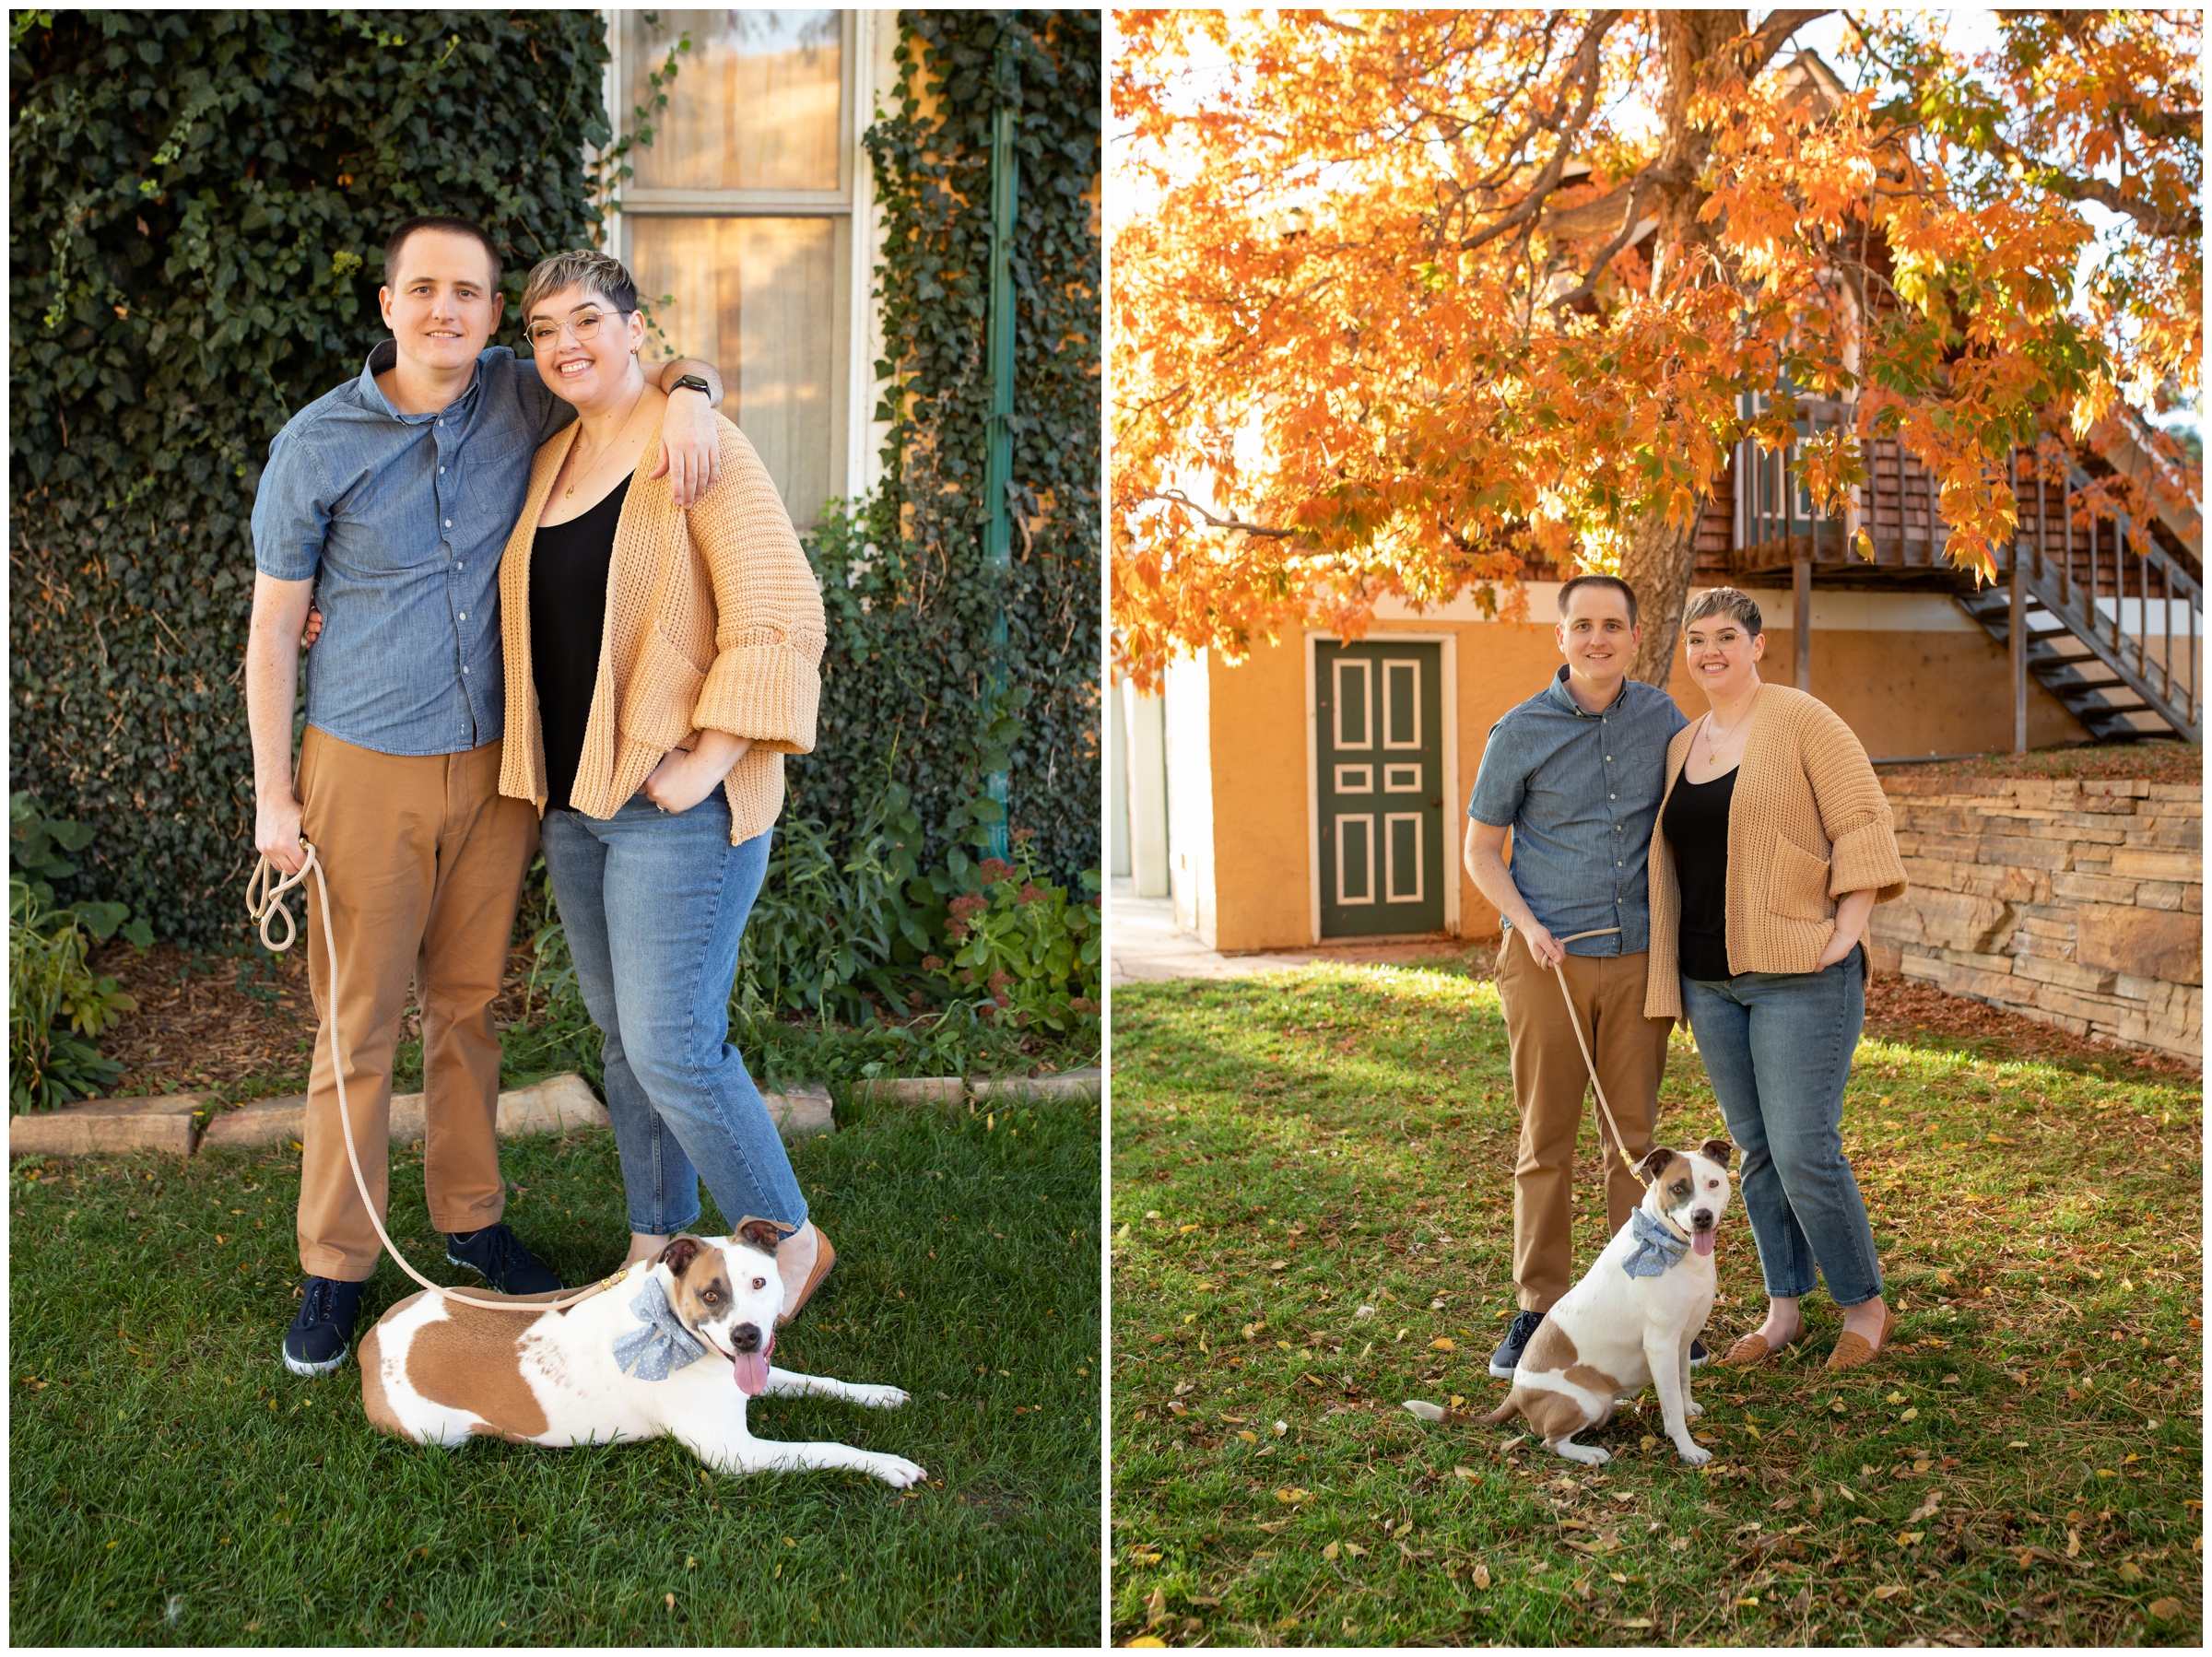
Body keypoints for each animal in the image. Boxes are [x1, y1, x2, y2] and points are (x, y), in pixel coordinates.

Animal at [356, 1212, 924, 1487]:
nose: (746, 1336)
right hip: (437, 1434)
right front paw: (887, 1464)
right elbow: (826, 1448)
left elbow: (817, 1382)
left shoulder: (752, 1376)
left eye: (760, 1282)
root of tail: (371, 1340)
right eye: (710, 1294)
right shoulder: (736, 1454)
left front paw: (877, 1395)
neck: (673, 1327)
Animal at [1406, 1141, 1734, 1460]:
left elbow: (1682, 1385)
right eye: (1677, 1188)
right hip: (1586, 1402)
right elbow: (1671, 1408)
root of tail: (1515, 1393)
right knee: (1550, 1442)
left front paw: (1689, 1409)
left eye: (1713, 1183)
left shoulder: (1681, 1342)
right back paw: (1590, 1454)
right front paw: (1688, 1450)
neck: (1667, 1245)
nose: (1702, 1217)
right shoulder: (1661, 1346)